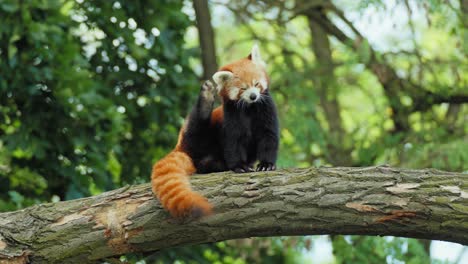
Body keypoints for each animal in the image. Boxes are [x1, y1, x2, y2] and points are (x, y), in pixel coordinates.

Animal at [152, 45, 280, 218]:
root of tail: (181, 147)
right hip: (195, 134)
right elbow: (234, 141)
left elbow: (268, 136)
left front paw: (266, 164)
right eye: (243, 88)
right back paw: (205, 100)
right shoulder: (231, 115)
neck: (249, 108)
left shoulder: (266, 109)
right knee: (196, 125)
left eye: (257, 84)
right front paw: (239, 166)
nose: (253, 96)